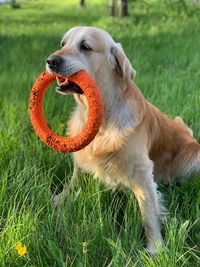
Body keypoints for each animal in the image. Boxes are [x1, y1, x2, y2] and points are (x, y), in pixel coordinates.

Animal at [45, 26, 200, 255]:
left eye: (85, 46)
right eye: (63, 43)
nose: (51, 61)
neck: (102, 119)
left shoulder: (142, 172)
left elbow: (148, 216)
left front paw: (155, 249)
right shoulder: (82, 157)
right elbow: (74, 179)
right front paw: (58, 199)